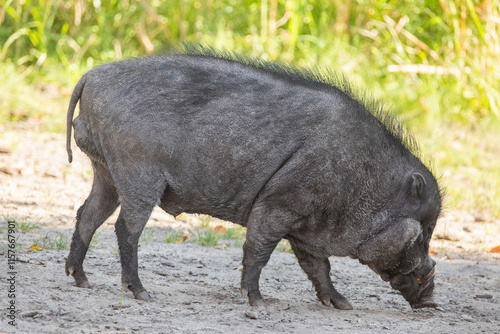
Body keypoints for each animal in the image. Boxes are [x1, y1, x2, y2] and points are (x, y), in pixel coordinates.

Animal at [65, 45, 442, 310]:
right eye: (424, 230)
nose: (432, 302)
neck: (361, 178)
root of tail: (91, 76)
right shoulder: (280, 204)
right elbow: (259, 250)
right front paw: (258, 303)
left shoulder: (305, 229)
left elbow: (318, 267)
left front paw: (343, 305)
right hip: (138, 175)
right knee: (125, 229)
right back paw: (141, 294)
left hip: (105, 172)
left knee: (87, 215)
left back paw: (81, 281)